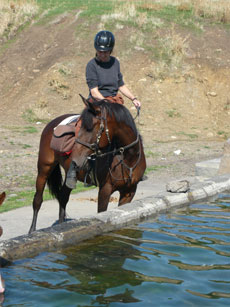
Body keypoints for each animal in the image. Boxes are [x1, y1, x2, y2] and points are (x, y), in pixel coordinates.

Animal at [28, 96, 146, 233]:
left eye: (90, 128)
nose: (76, 159)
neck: (127, 159)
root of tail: (52, 124)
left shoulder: (129, 191)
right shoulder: (105, 190)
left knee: (63, 197)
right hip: (44, 168)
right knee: (37, 200)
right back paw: (31, 231)